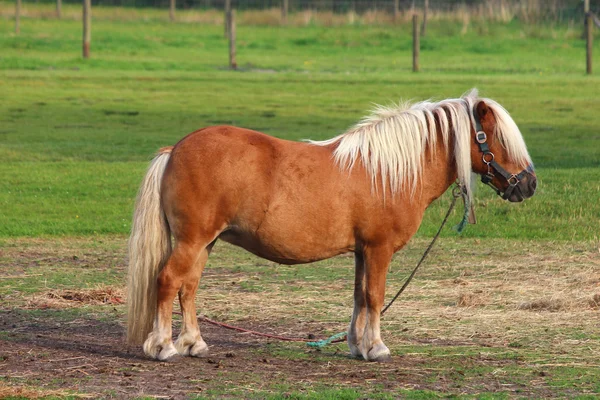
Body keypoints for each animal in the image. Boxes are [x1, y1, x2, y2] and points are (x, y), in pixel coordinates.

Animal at [127, 90, 540, 362]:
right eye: (498, 138)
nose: (529, 184)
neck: (388, 171)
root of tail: (175, 151)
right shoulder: (378, 249)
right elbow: (375, 296)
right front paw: (376, 348)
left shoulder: (362, 251)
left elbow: (360, 296)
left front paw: (358, 345)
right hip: (192, 241)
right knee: (168, 281)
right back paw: (163, 347)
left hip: (204, 242)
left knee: (189, 287)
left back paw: (193, 343)